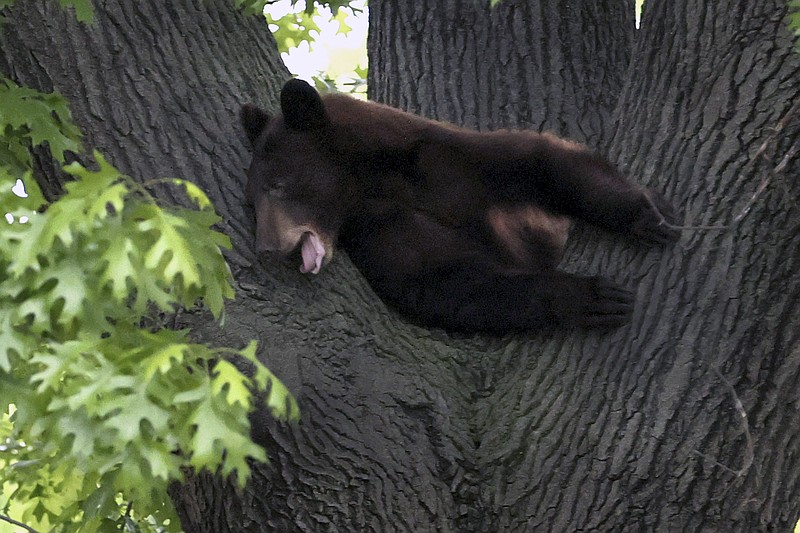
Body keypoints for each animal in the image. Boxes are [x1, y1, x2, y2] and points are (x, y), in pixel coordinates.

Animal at [241, 78, 680, 332]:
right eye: (253, 201)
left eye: (278, 184)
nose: (266, 249)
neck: (373, 181)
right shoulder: (380, 225)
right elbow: (444, 282)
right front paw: (594, 297)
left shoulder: (450, 162)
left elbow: (543, 161)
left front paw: (646, 215)